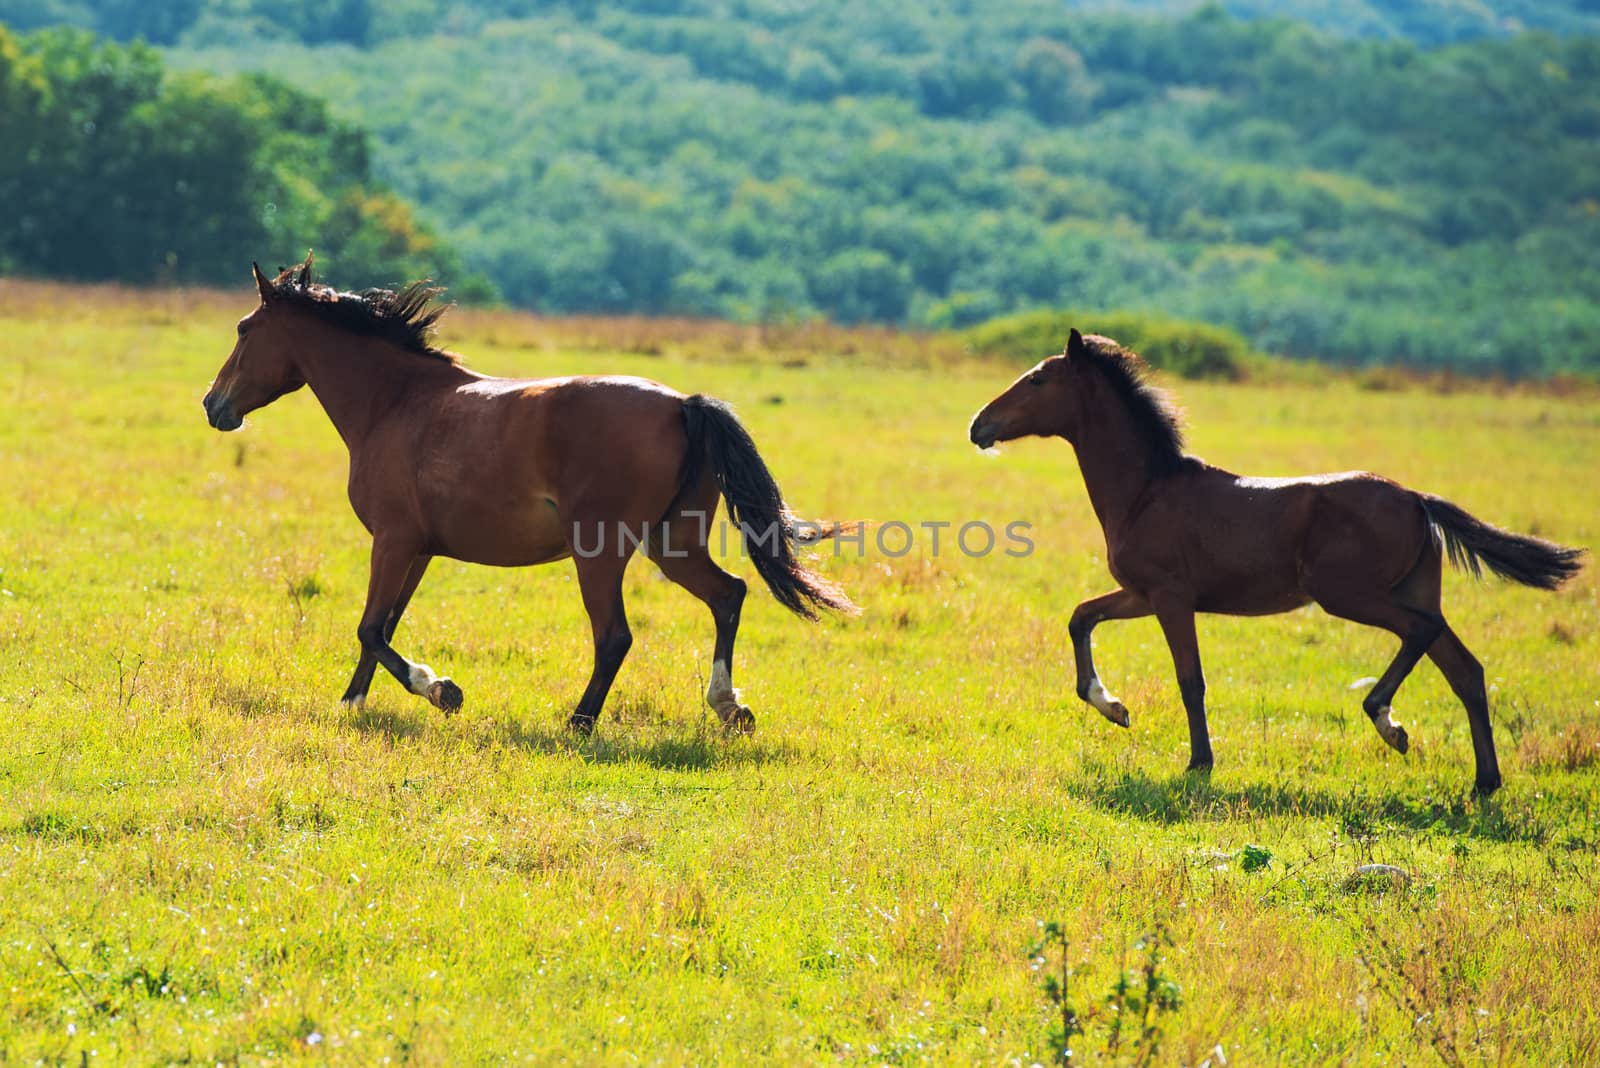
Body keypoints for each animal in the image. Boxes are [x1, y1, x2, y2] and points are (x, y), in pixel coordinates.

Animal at [204, 254, 857, 729]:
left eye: (243, 328)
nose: (214, 406)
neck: (395, 403)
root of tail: (682, 405)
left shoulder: (391, 540)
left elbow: (370, 628)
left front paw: (441, 689)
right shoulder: (418, 549)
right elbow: (382, 627)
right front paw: (352, 703)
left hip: (601, 553)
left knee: (615, 636)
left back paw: (579, 723)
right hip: (672, 545)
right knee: (728, 595)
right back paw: (729, 707)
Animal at [966, 329, 1580, 796]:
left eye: (1038, 379)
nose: (979, 425)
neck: (1146, 491)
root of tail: (1416, 499)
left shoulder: (1171, 598)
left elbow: (1190, 679)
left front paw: (1199, 762)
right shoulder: (1140, 595)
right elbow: (1081, 617)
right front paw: (1112, 707)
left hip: (1350, 595)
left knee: (1423, 636)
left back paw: (1387, 720)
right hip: (1410, 590)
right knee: (1465, 670)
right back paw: (1484, 782)